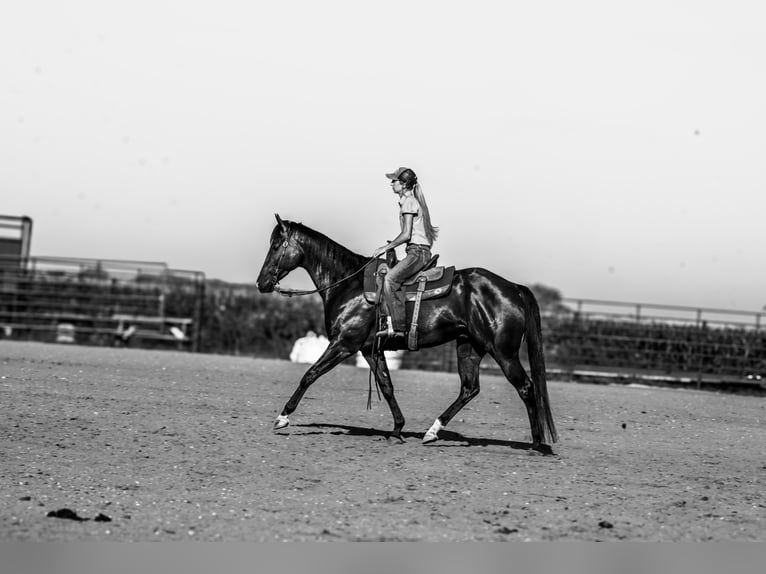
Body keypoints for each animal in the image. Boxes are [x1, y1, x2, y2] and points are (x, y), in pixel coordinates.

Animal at [256, 215, 558, 452]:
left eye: (275, 245)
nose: (261, 283)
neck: (348, 284)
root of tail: (513, 288)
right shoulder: (369, 350)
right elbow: (387, 386)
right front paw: (397, 429)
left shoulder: (344, 344)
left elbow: (310, 374)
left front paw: (282, 417)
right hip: (469, 347)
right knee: (469, 388)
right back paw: (432, 432)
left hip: (503, 352)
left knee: (526, 387)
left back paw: (537, 443)